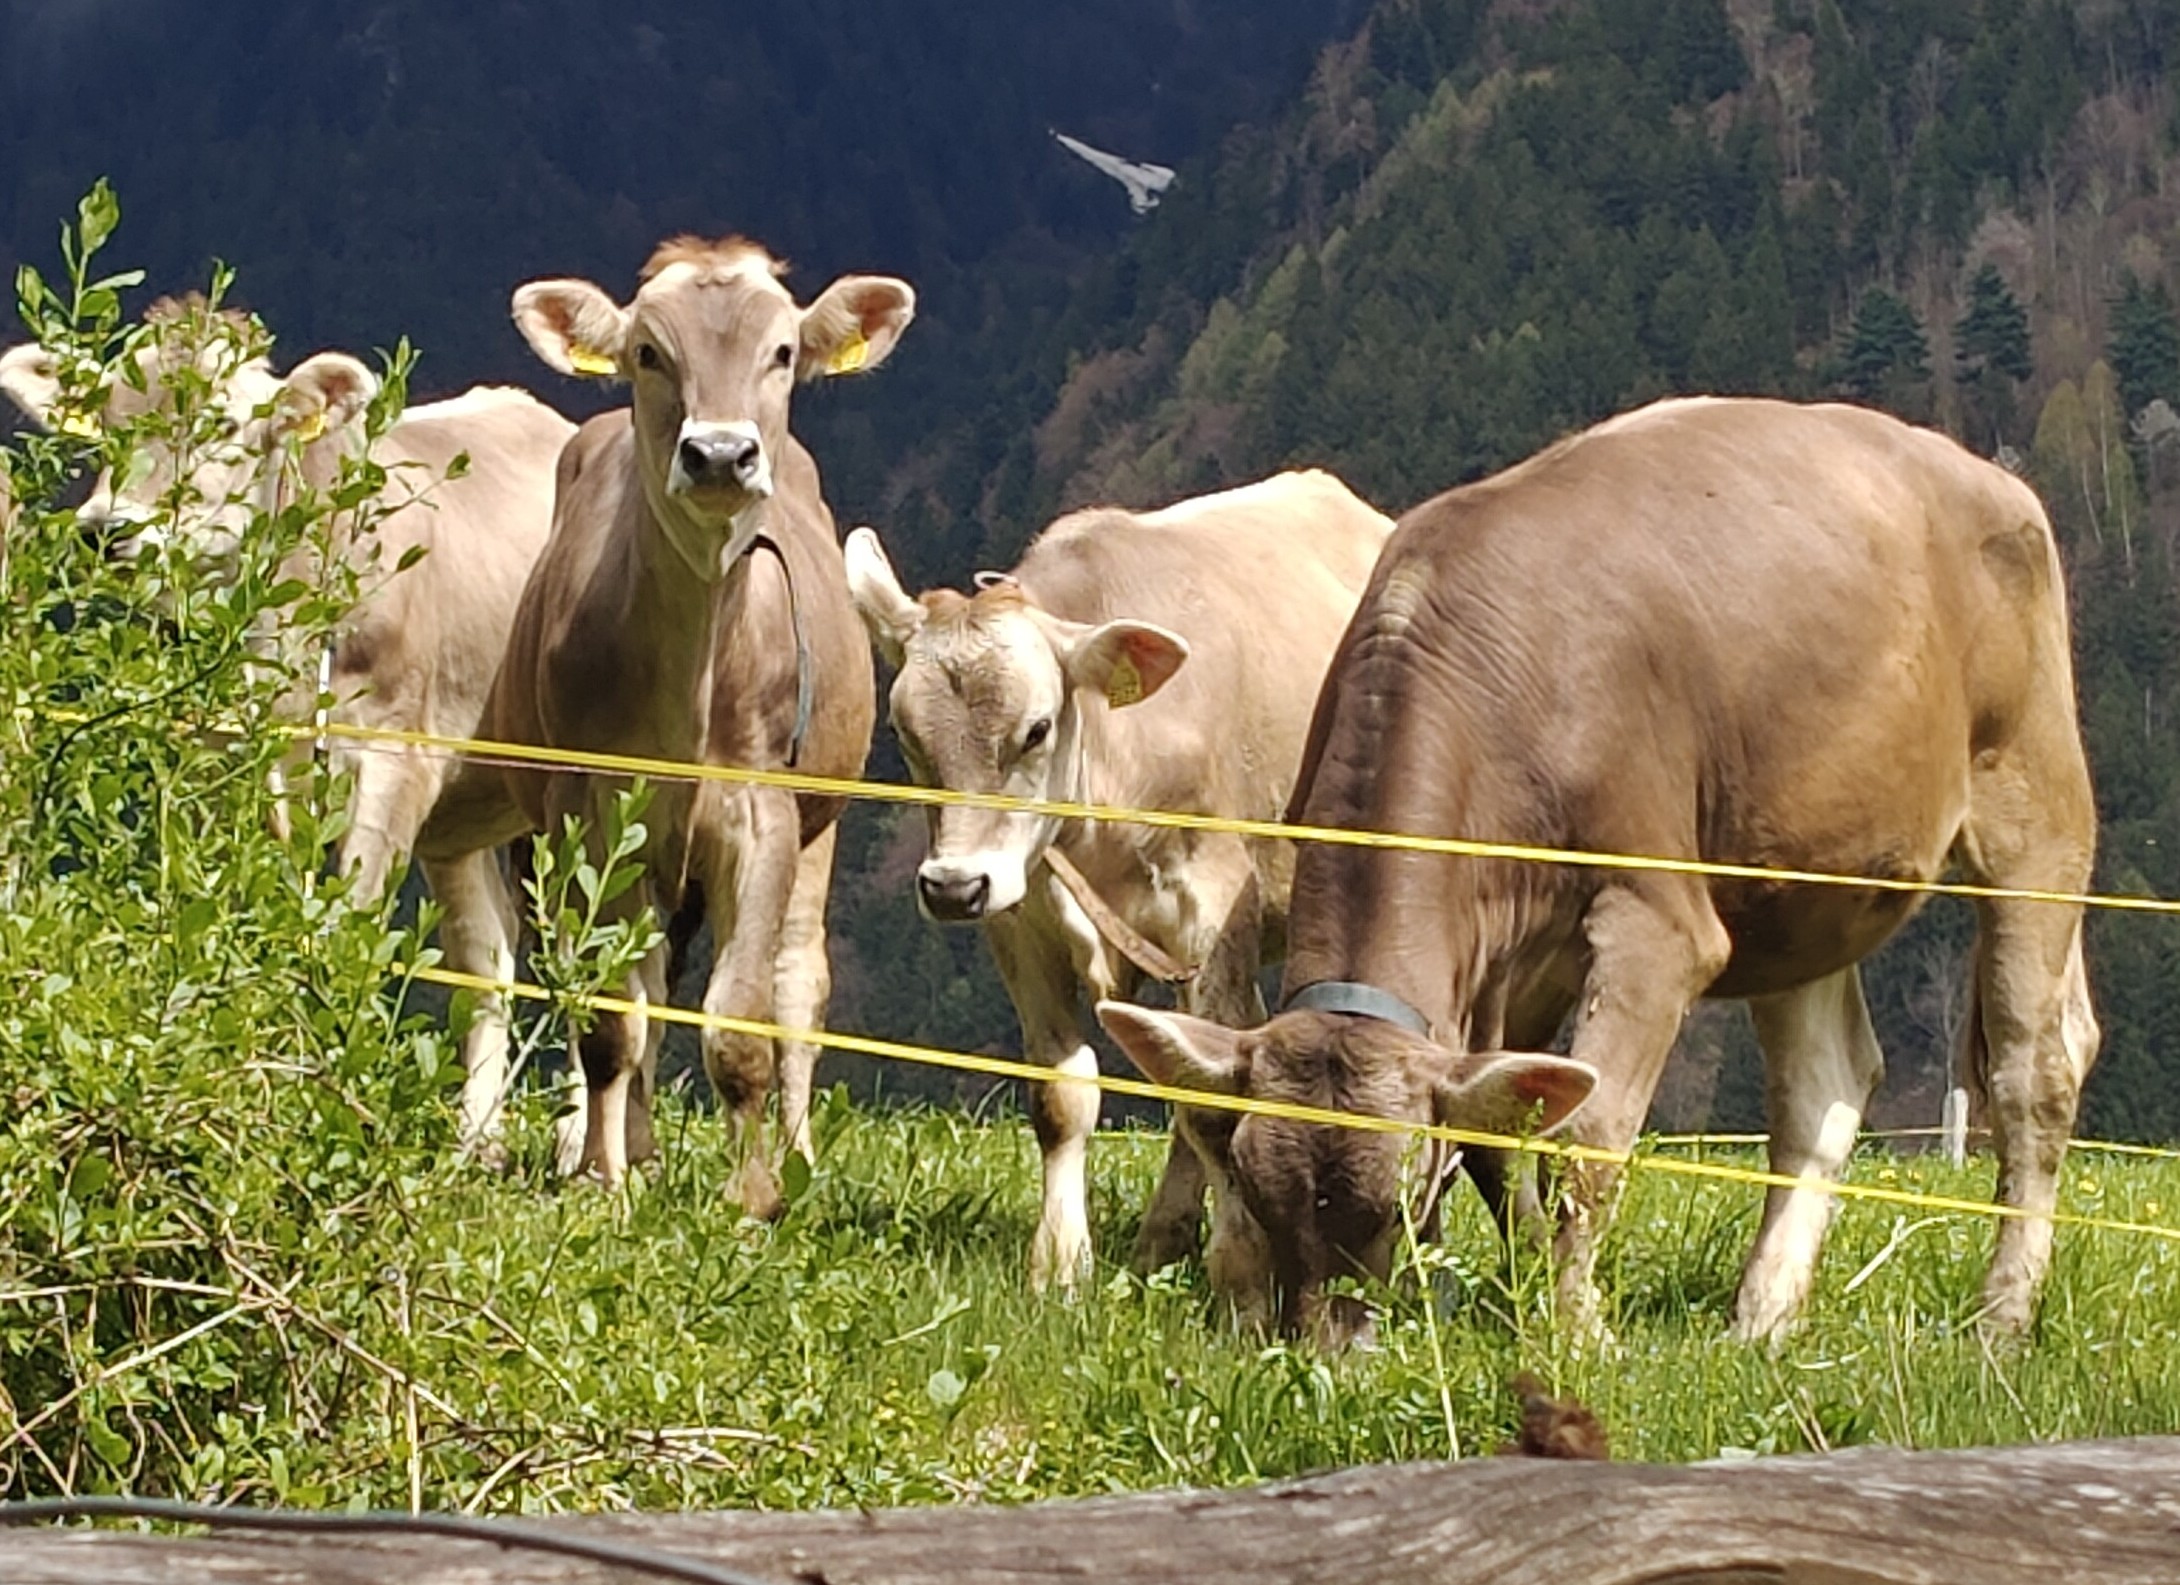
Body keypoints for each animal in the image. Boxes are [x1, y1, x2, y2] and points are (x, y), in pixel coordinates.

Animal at [0, 297, 572, 920]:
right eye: (108, 424)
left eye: (224, 424)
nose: (106, 527)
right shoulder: (210, 766)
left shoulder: (398, 759)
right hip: (461, 836)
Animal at [414, 236, 897, 1201]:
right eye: (648, 351)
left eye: (782, 351)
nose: (719, 453)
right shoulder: (587, 812)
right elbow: (610, 1019)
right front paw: (609, 1180)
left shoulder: (761, 815)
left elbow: (739, 1024)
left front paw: (752, 1198)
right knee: (641, 982)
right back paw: (631, 1150)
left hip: (820, 818)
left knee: (798, 981)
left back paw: (796, 1153)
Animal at [844, 471, 1396, 1288]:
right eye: (904, 734)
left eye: (1037, 728)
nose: (951, 886)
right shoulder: (1022, 923)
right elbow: (1063, 1095)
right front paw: (1059, 1263)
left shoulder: (1210, 919)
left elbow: (1208, 1104)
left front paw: (1239, 1262)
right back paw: (1161, 1237)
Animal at [1097, 396, 2099, 1347]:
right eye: (1253, 1184)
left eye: (1395, 1200)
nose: (1330, 1346)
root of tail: (1977, 472)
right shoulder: (1507, 954)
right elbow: (1500, 1134)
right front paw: (1518, 1295)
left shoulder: (1654, 920)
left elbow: (1588, 1133)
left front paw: (1576, 1324)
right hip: (1801, 884)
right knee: (1826, 1083)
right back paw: (1762, 1319)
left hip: (2035, 803)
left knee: (2035, 1067)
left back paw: (2001, 1319)